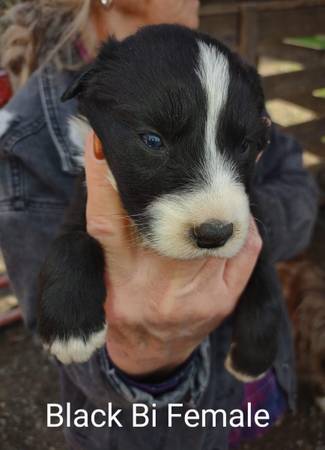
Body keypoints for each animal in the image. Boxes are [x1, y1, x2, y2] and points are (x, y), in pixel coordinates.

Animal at [37, 24, 280, 382]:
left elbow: (266, 280)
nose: (214, 234)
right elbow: (71, 241)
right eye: (153, 140)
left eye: (244, 146)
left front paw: (253, 358)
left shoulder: (251, 219)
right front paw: (69, 329)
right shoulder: (86, 197)